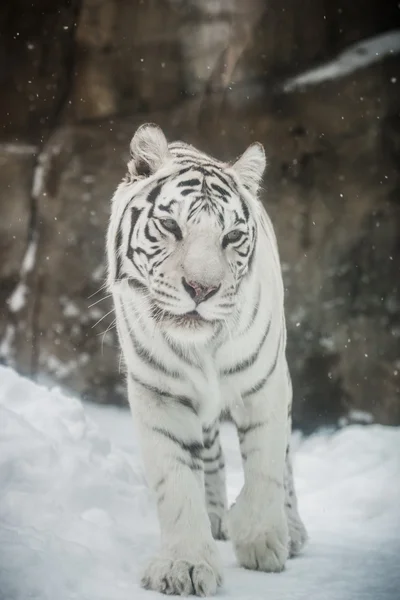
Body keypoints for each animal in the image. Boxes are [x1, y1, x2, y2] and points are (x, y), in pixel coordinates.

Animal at [106, 125, 306, 596]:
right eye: (170, 225)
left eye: (231, 237)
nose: (202, 288)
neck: (203, 347)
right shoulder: (160, 392)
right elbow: (178, 481)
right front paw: (185, 566)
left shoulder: (266, 384)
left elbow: (267, 463)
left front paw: (261, 541)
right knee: (211, 453)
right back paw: (215, 514)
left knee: (284, 460)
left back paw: (291, 530)